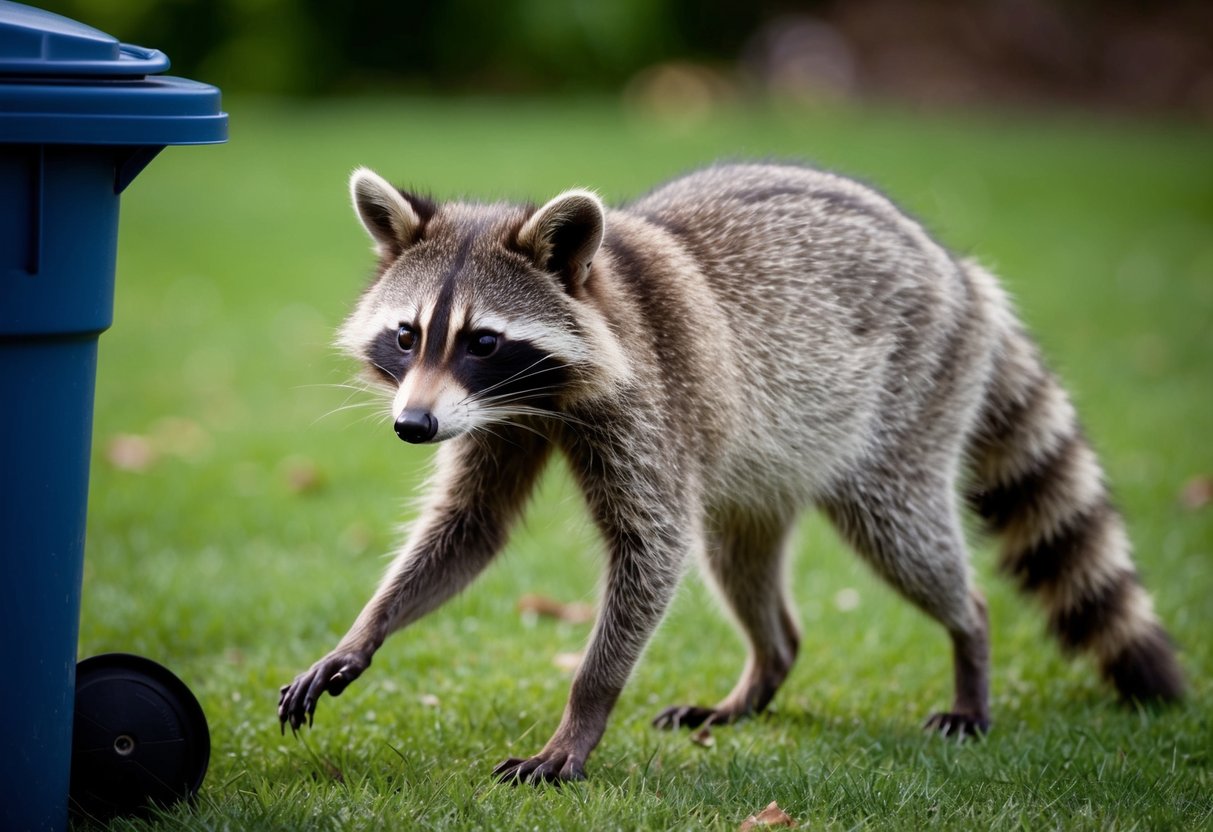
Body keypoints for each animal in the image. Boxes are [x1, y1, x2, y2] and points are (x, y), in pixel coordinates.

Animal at [278, 162, 1183, 783]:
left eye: (483, 341)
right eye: (407, 335)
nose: (412, 427)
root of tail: (959, 271)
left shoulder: (646, 406)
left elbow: (651, 549)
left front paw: (582, 713)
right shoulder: (500, 418)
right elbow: (469, 528)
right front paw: (364, 630)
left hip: (910, 398)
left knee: (903, 535)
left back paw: (969, 638)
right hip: (763, 466)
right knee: (739, 559)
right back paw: (763, 671)